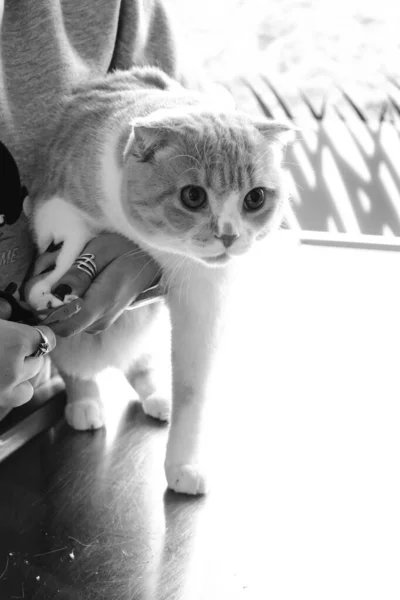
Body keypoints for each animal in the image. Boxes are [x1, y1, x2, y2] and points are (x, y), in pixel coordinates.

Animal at [24, 67, 294, 496]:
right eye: (193, 196)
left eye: (255, 199)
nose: (229, 236)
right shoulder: (51, 201)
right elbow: (69, 243)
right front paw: (51, 286)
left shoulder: (205, 299)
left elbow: (192, 391)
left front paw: (183, 464)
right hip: (77, 347)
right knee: (77, 366)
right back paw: (84, 401)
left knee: (141, 364)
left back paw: (157, 397)